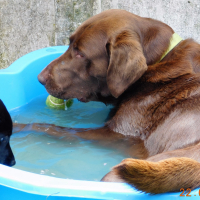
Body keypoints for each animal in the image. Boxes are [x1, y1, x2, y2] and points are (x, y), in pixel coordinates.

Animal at [36, 9, 200, 194]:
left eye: (81, 54)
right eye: (70, 44)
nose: (40, 78)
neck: (157, 62)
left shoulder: (116, 134)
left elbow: (53, 129)